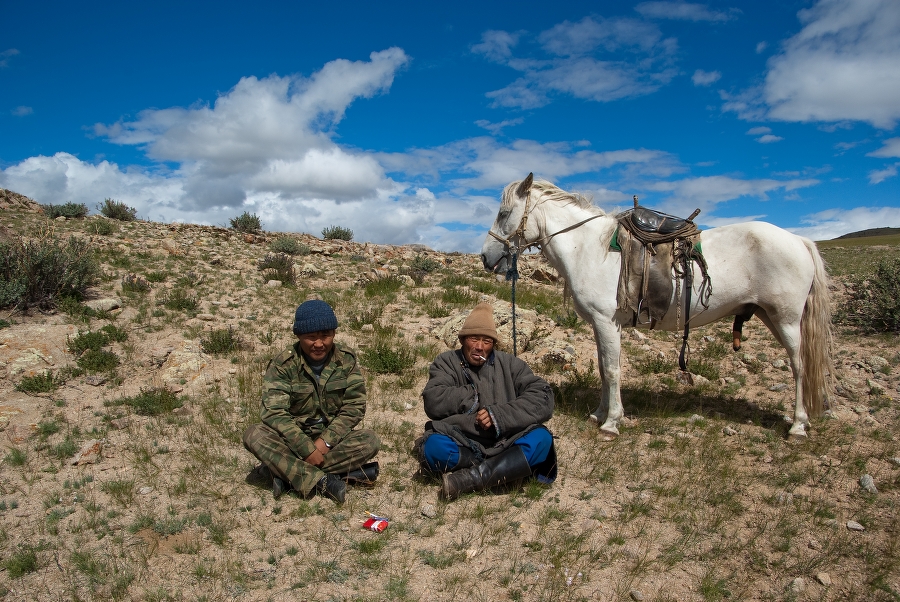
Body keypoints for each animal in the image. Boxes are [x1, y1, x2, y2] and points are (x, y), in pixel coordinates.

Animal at [482, 173, 832, 436]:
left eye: (503, 213)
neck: (590, 248)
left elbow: (612, 369)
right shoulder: (600, 325)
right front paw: (599, 413)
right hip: (770, 316)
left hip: (786, 319)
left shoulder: (607, 322)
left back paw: (798, 426)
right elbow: (604, 368)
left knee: (799, 366)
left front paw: (611, 422)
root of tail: (799, 240)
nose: (486, 257)